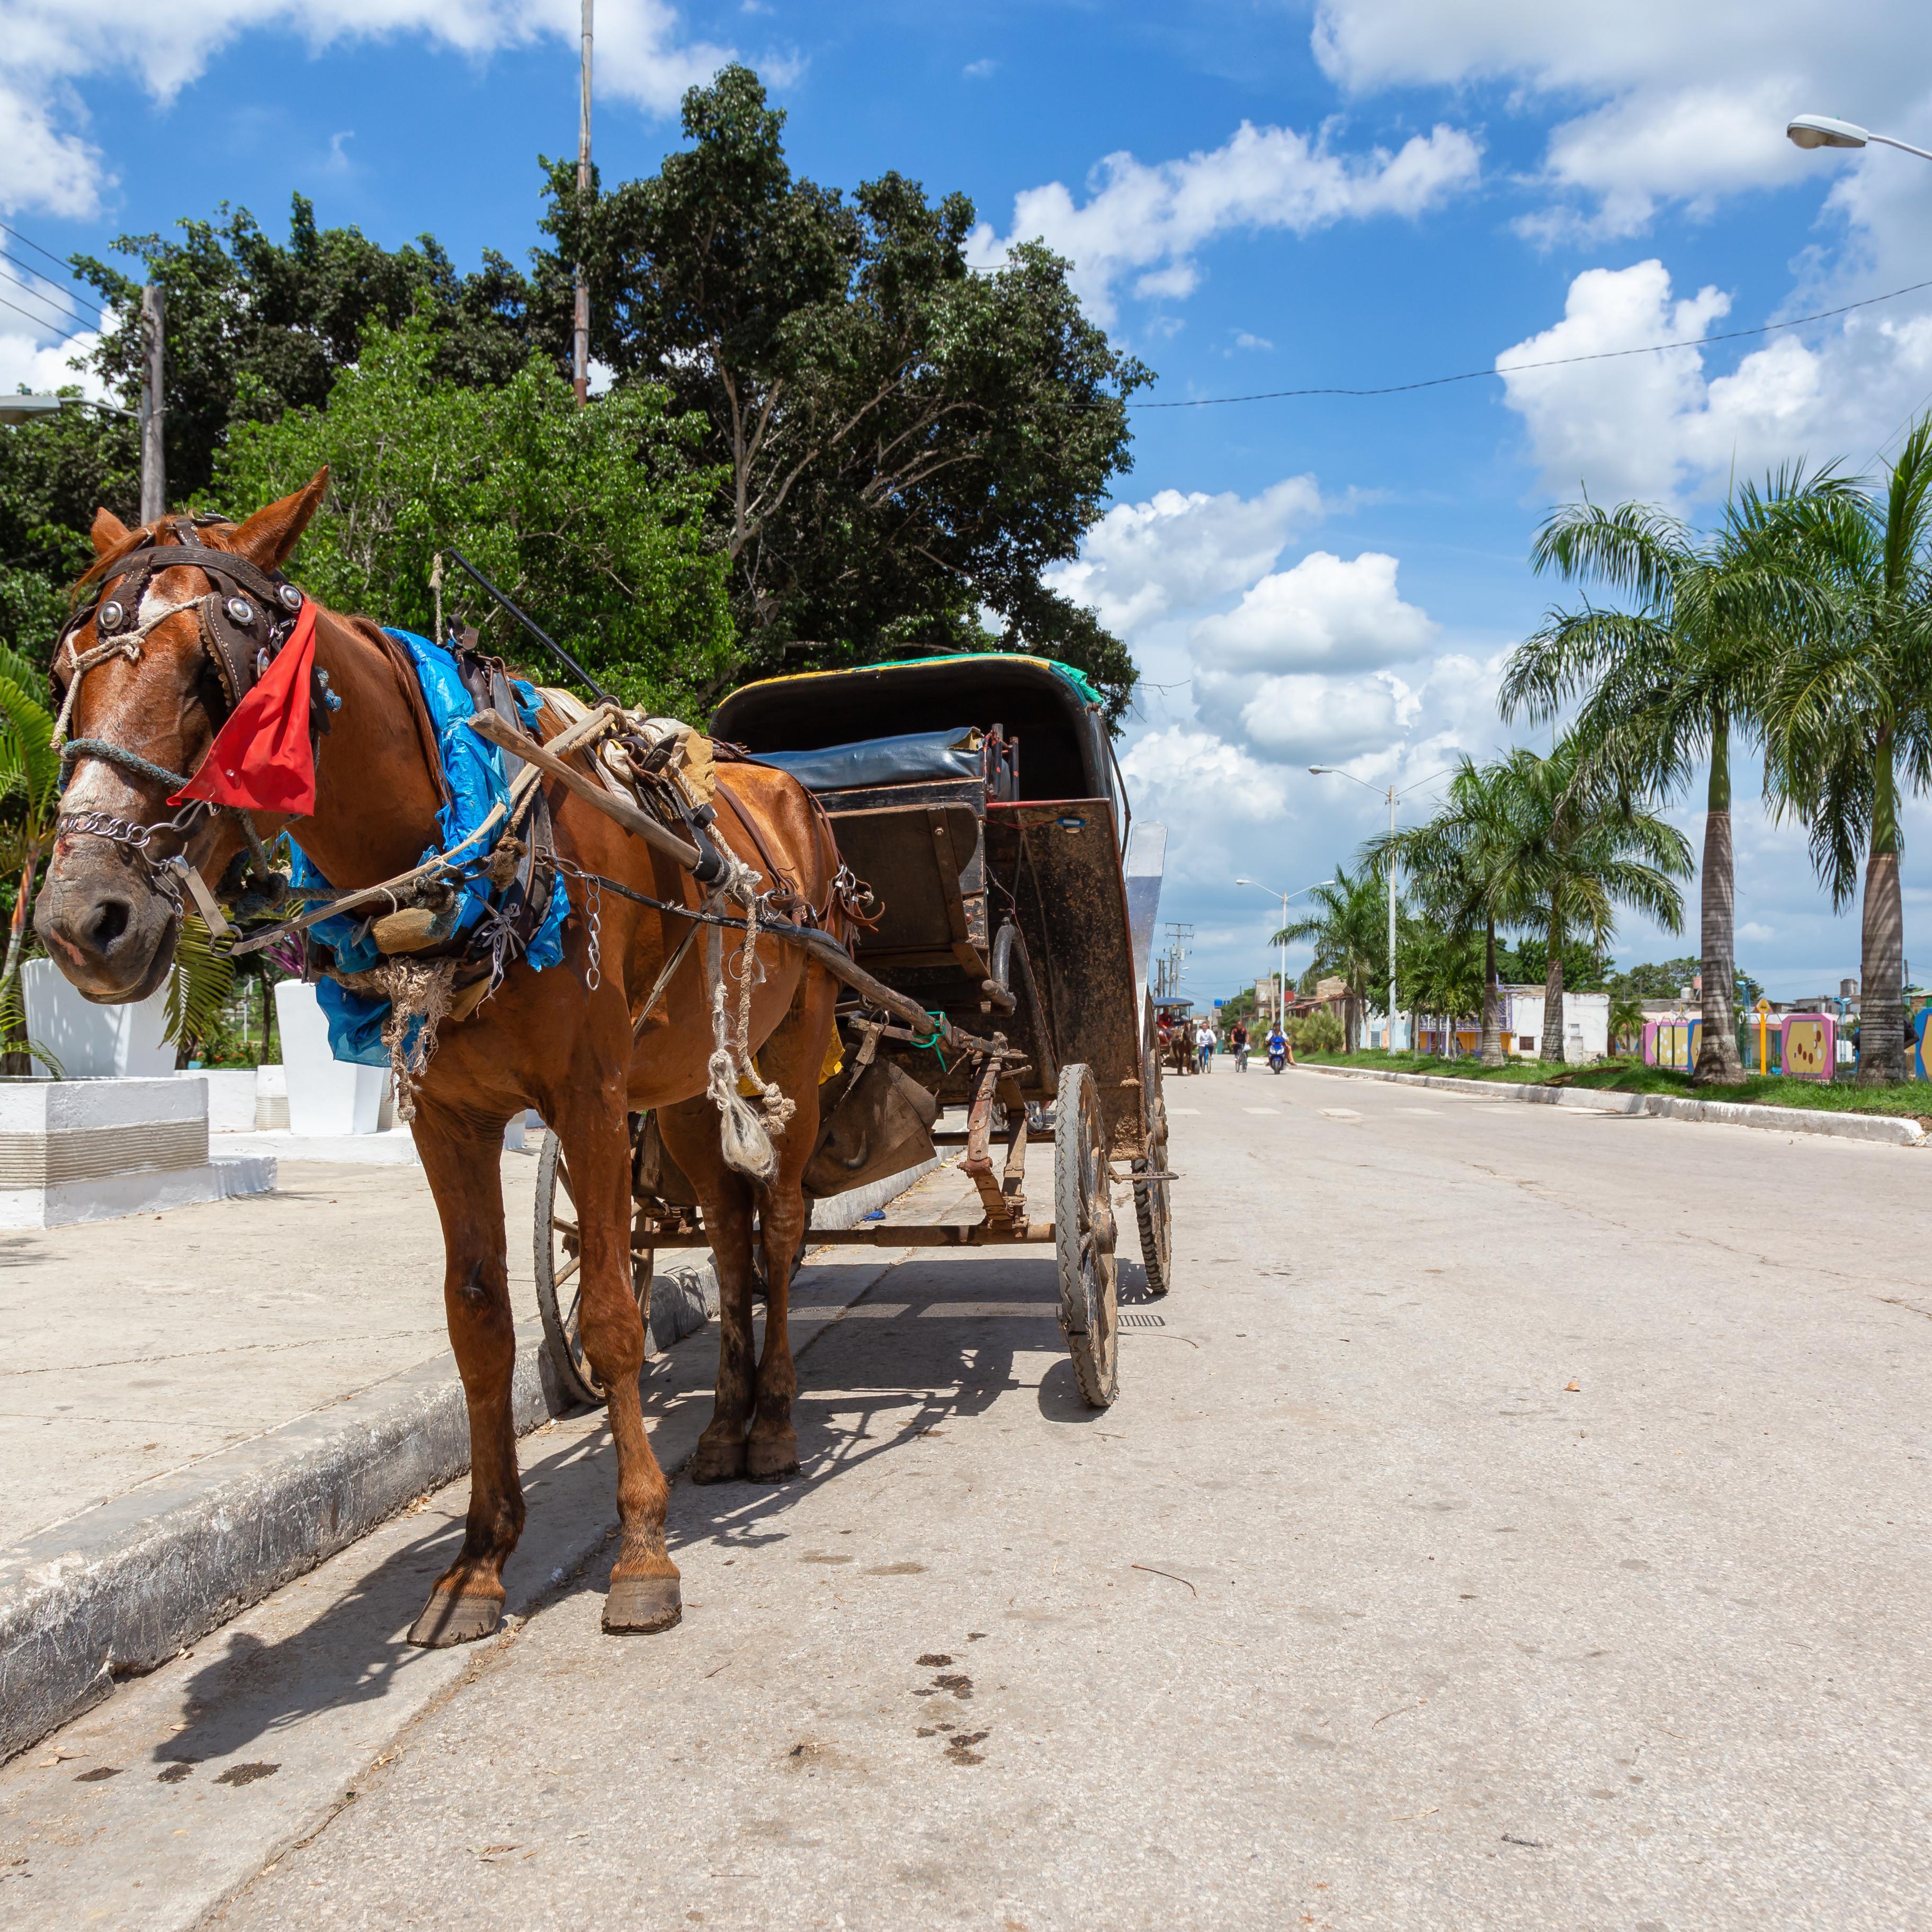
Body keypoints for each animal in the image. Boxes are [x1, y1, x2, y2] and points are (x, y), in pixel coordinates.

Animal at [41, 479, 842, 1646]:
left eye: (212, 679)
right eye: (66, 674)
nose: (78, 921)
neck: (461, 853)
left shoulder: (589, 1097)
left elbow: (611, 1312)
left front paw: (642, 1552)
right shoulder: (445, 1116)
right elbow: (480, 1322)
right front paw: (478, 1562)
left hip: (797, 1038)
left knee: (777, 1228)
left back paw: (775, 1422)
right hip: (687, 1089)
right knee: (732, 1236)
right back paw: (728, 1427)